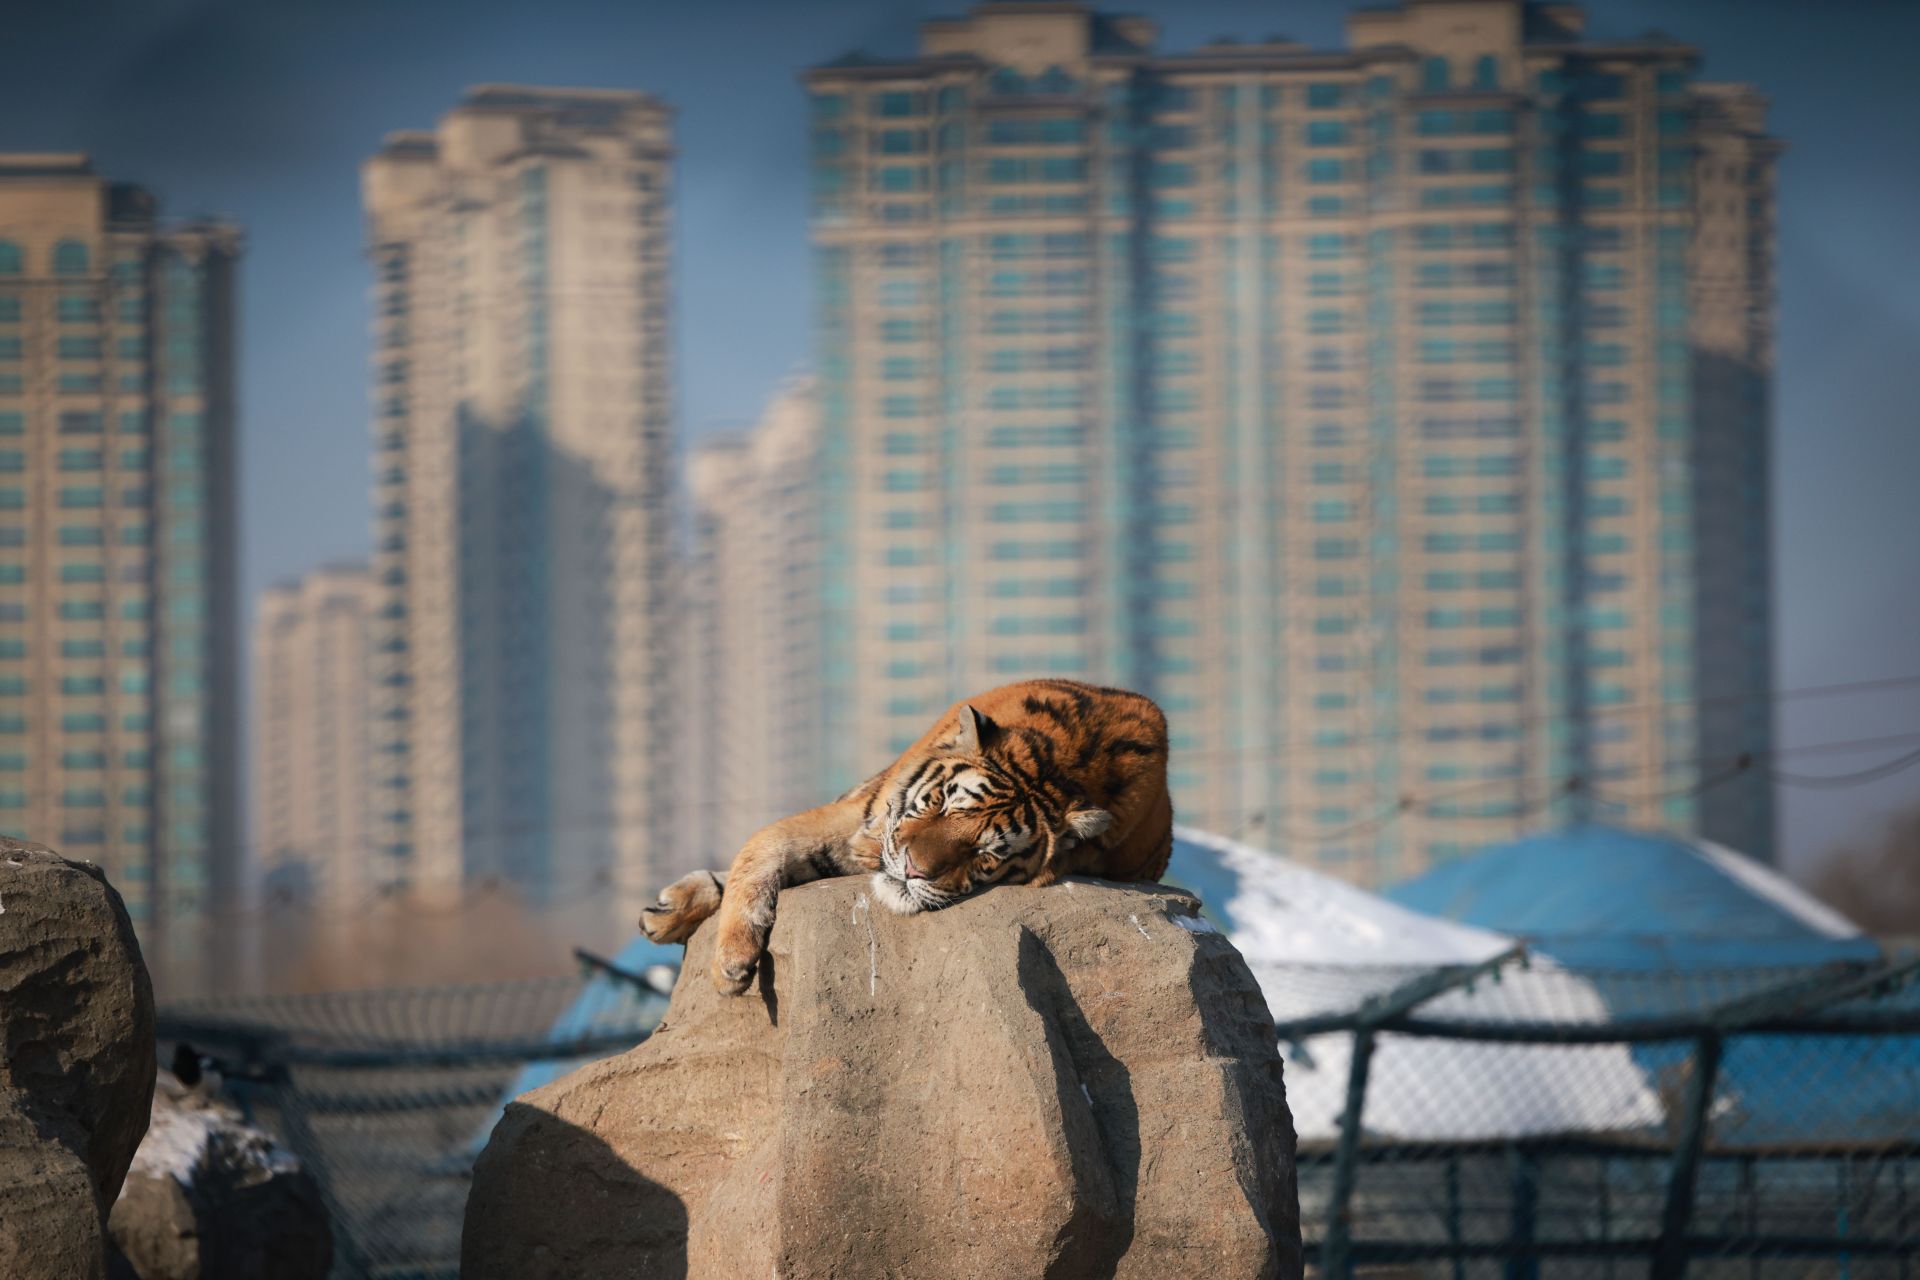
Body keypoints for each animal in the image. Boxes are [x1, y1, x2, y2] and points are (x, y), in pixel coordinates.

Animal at [648, 675, 1167, 997]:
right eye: (941, 803)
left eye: (985, 853)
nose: (914, 870)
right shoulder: (854, 819)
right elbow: (760, 847)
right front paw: (731, 965)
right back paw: (666, 911)